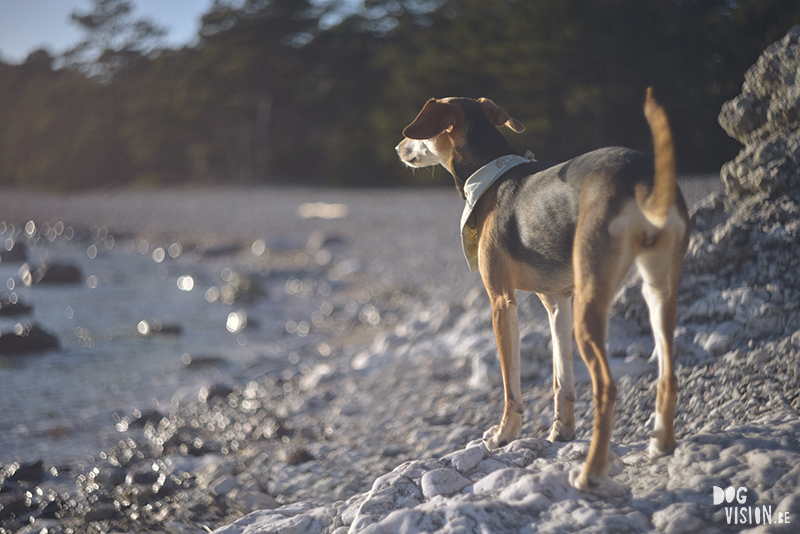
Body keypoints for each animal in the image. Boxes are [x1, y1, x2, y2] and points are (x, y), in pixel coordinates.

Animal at [394, 89, 688, 494]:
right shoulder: (557, 301)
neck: (489, 175)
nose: (397, 146)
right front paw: (561, 432)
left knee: (607, 388)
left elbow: (510, 385)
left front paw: (505, 434)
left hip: (590, 306)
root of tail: (642, 175)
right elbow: (561, 378)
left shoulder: (502, 302)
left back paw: (591, 472)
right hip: (659, 294)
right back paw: (662, 443)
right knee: (668, 375)